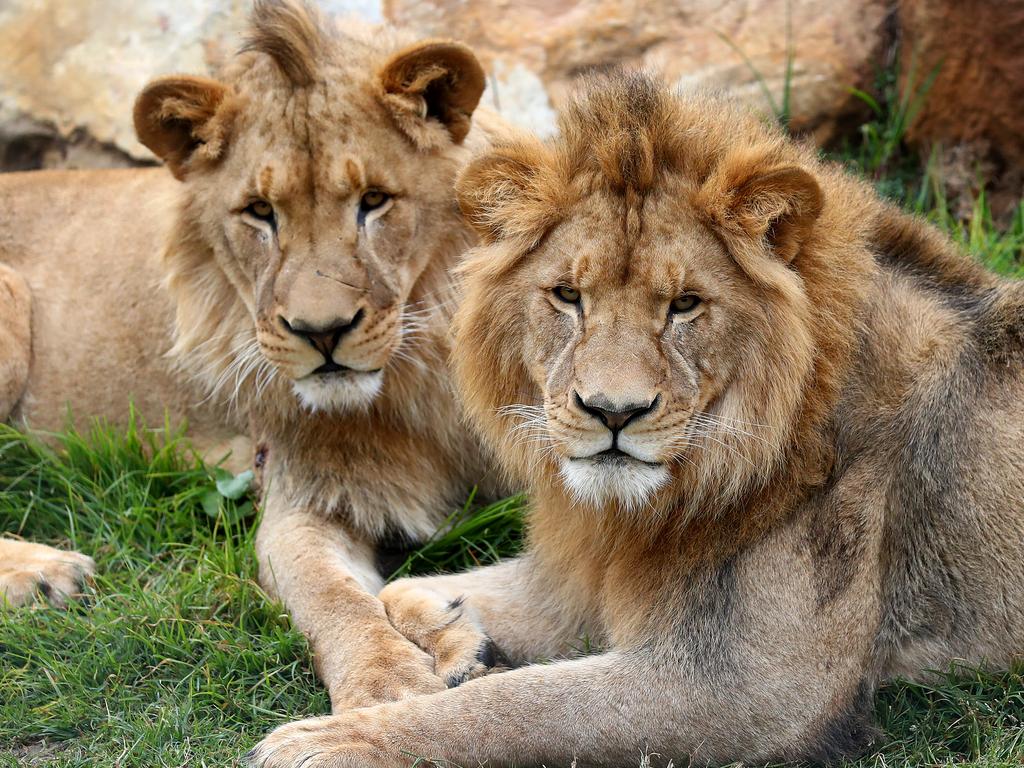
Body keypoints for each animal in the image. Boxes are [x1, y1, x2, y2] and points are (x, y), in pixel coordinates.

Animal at [0, 0, 503, 708]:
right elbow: (333, 601)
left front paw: (454, 638)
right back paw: (47, 571)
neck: (416, 380)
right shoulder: (300, 501)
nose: (321, 332)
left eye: (374, 201)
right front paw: (386, 690)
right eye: (260, 212)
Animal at [249, 69, 1024, 765]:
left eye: (684, 305)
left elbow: (520, 707)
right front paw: (458, 637)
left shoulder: (752, 686)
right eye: (568, 296)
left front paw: (332, 742)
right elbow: (406, 588)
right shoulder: (586, 577)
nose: (612, 411)